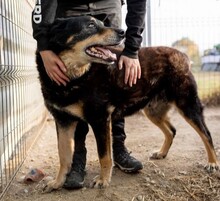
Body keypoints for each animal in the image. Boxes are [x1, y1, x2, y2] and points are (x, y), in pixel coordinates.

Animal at [36, 16, 218, 192]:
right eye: (90, 25)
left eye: (101, 23)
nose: (122, 31)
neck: (75, 77)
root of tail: (182, 55)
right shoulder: (63, 121)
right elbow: (64, 156)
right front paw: (57, 183)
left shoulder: (100, 119)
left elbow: (104, 155)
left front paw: (103, 180)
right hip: (153, 111)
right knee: (172, 130)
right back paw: (162, 153)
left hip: (187, 105)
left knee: (206, 134)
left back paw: (213, 163)